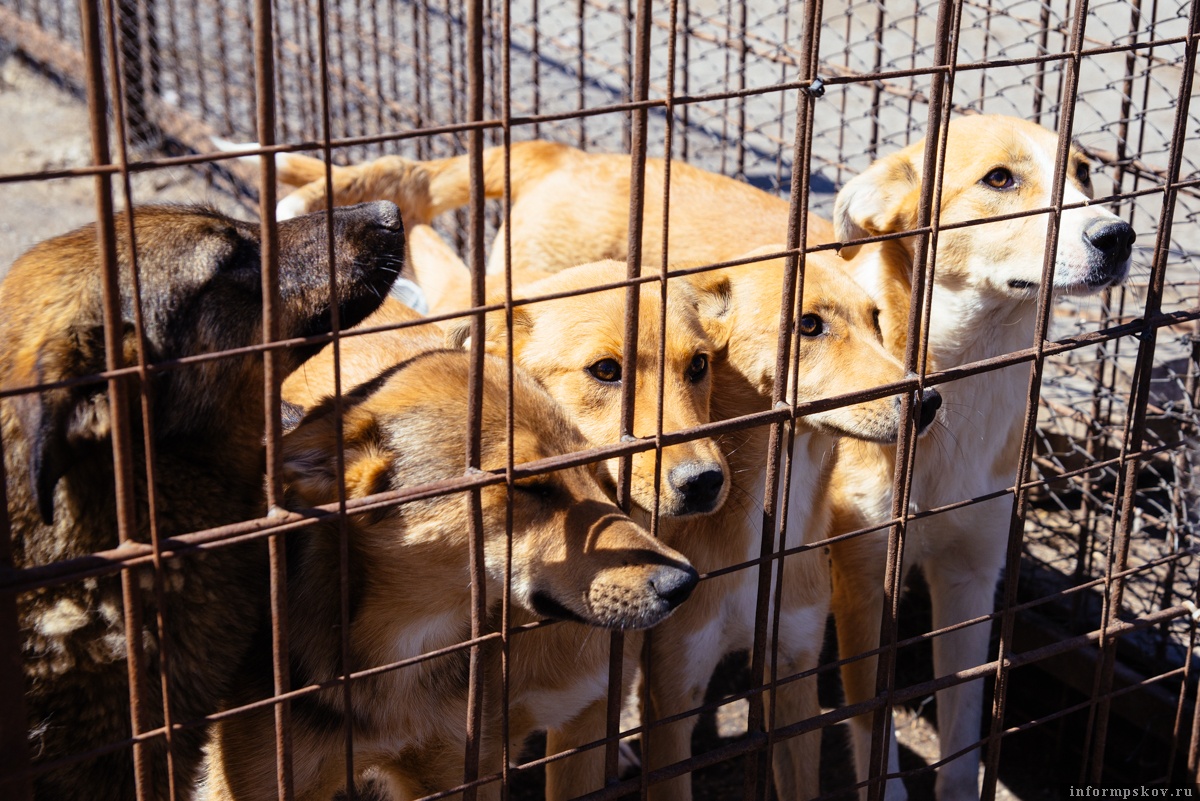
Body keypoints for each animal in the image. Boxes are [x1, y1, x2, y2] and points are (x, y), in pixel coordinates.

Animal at [825, 113, 1132, 801]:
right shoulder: (861, 587)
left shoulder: (971, 576)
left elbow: (963, 734)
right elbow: (875, 733)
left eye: (1085, 172)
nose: (1119, 234)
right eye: (998, 179)